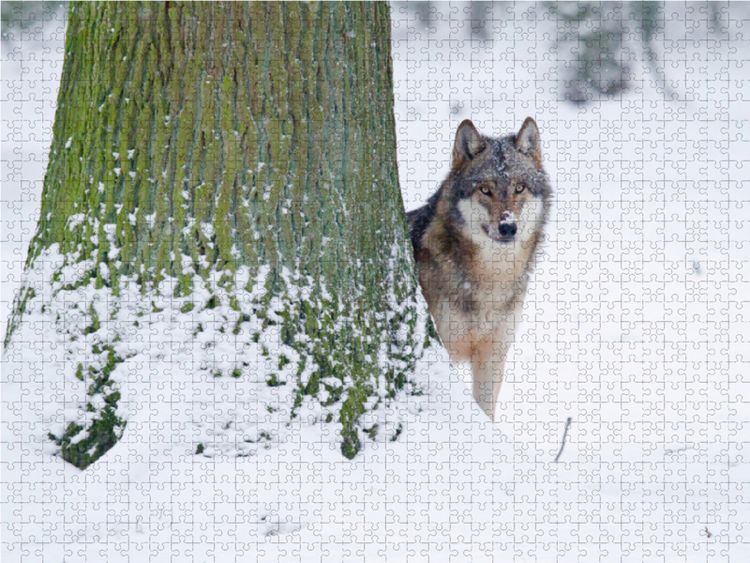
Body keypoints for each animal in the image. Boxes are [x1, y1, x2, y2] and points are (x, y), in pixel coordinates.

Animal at [407, 118, 552, 420]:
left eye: (519, 188)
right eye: (485, 190)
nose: (508, 227)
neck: (490, 281)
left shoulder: (493, 354)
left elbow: (487, 410)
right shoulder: (445, 348)